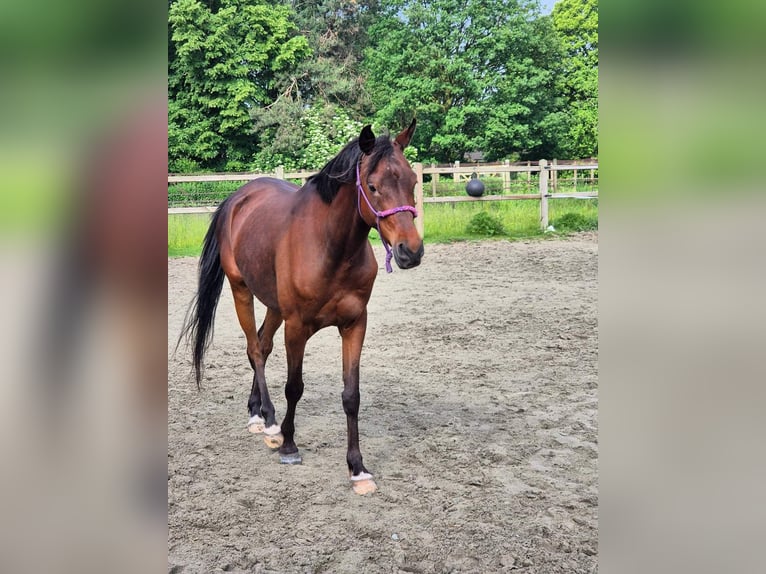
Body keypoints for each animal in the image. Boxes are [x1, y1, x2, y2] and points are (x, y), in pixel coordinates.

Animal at [182, 120, 426, 496]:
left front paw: (357, 468)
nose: (410, 251)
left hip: (273, 305)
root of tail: (239, 197)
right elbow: (294, 387)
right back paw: (269, 422)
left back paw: (257, 412)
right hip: (242, 291)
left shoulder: (355, 324)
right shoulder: (298, 327)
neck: (331, 248)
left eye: (413, 182)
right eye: (372, 186)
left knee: (262, 346)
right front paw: (288, 445)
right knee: (255, 349)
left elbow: (352, 395)